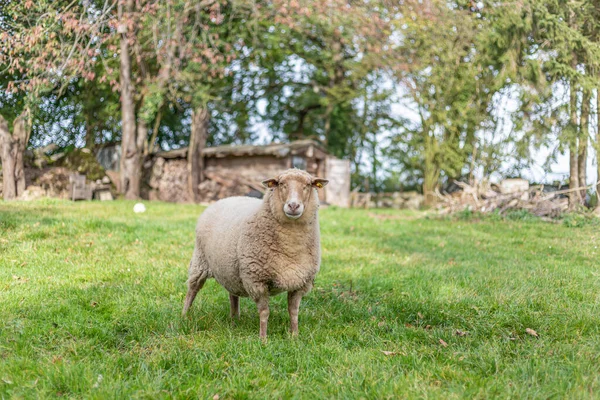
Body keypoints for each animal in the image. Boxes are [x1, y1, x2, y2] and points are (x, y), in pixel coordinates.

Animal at [182, 169, 328, 338]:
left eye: (308, 185)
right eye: (281, 184)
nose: (293, 205)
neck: (291, 247)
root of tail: (226, 198)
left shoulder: (301, 282)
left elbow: (293, 311)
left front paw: (294, 336)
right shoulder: (257, 281)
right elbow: (264, 312)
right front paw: (263, 339)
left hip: (230, 268)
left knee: (233, 294)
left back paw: (235, 319)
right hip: (200, 261)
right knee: (192, 290)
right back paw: (184, 316)